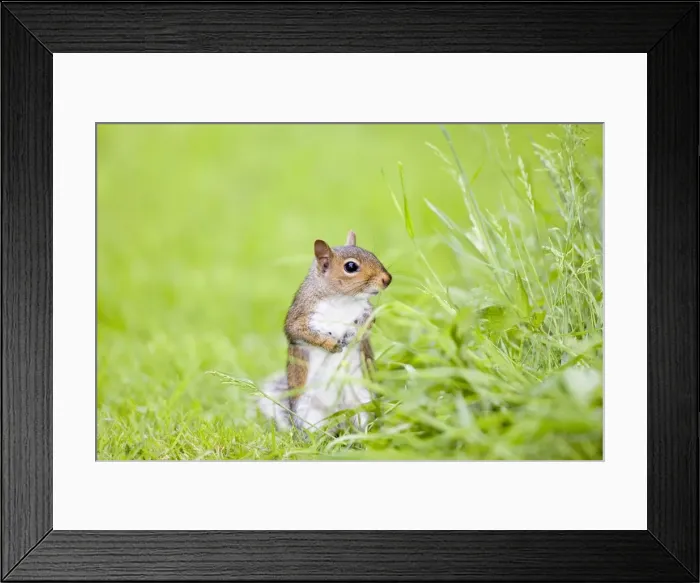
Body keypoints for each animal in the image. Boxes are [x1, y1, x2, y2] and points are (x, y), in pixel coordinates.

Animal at [257, 230, 392, 433]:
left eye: (372, 254)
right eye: (351, 266)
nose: (387, 279)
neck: (342, 299)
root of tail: (339, 418)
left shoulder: (366, 311)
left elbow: (367, 324)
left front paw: (353, 334)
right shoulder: (300, 315)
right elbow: (298, 332)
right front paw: (330, 343)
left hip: (362, 400)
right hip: (308, 413)